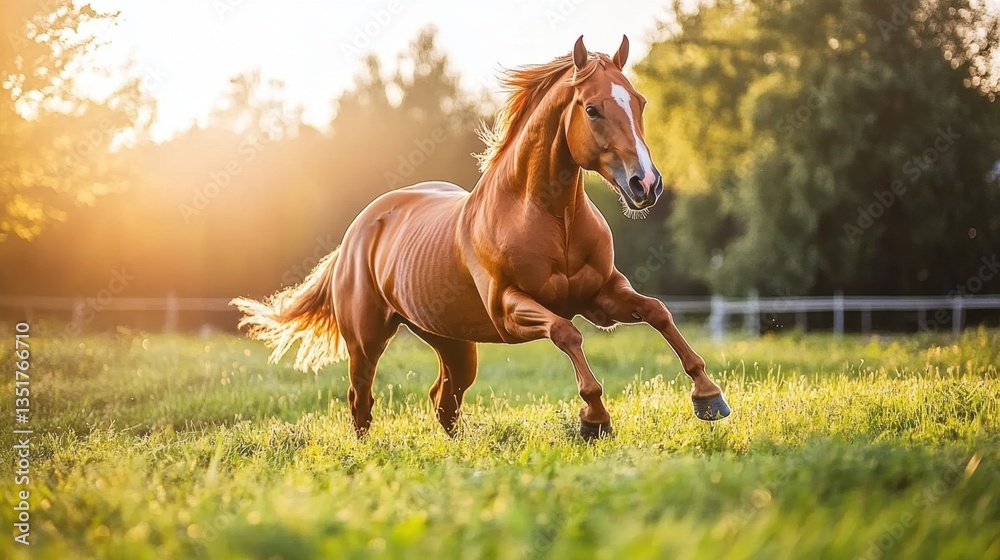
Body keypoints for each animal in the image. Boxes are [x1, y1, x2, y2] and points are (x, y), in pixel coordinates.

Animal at [232, 35, 731, 440]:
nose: (646, 184)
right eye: (592, 109)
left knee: (443, 399)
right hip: (367, 341)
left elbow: (658, 311)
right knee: (363, 401)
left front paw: (709, 397)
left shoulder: (601, 296)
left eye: (640, 103)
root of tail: (358, 230)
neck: (548, 218)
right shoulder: (510, 308)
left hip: (453, 344)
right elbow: (567, 334)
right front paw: (595, 420)